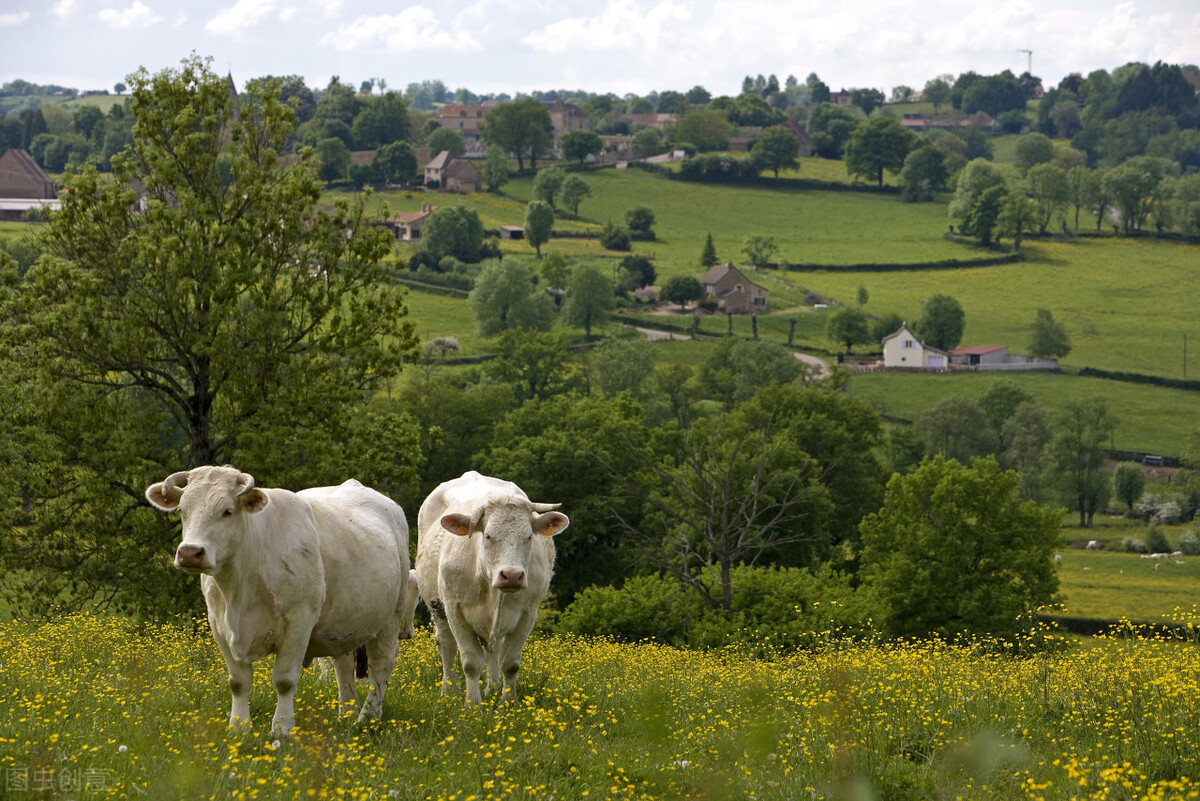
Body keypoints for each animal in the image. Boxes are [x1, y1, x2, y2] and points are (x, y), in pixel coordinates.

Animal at [145, 462, 412, 733]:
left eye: (227, 511)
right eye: (182, 510)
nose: (190, 553)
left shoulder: (299, 621)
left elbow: (284, 680)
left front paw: (281, 728)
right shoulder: (219, 625)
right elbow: (238, 682)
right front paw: (239, 728)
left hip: (391, 616)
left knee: (381, 665)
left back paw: (368, 718)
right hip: (345, 622)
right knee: (343, 667)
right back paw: (346, 715)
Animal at [415, 472, 568, 705]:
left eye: (529, 536)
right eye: (487, 535)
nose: (512, 575)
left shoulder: (528, 613)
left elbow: (511, 664)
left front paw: (508, 702)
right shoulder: (454, 609)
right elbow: (470, 662)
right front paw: (472, 704)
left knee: (492, 651)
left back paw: (493, 688)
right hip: (437, 606)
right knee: (446, 646)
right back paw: (449, 692)